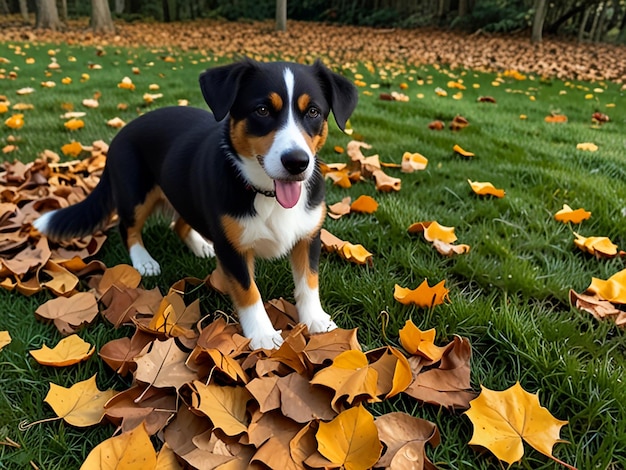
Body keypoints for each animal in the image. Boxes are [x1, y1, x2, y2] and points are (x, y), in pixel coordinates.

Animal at [35, 58, 356, 350]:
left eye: (313, 112)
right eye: (262, 110)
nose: (297, 162)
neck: (266, 194)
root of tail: (123, 130)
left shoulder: (308, 235)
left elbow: (308, 282)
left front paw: (315, 319)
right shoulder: (232, 249)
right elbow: (249, 292)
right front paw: (262, 335)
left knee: (178, 223)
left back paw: (201, 245)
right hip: (136, 192)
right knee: (127, 227)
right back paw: (144, 261)